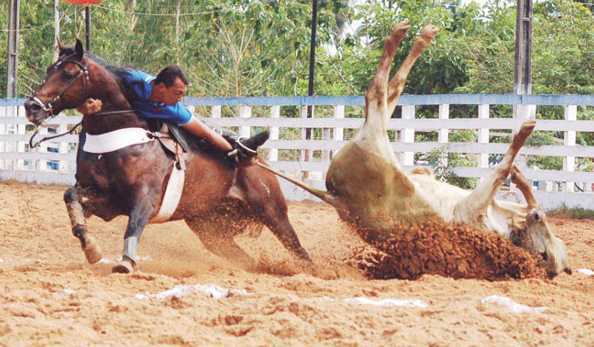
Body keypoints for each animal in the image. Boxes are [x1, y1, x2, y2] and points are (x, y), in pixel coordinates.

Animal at [24, 40, 312, 274]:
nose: (31, 106)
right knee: (245, 260)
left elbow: (134, 225)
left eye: (68, 72)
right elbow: (71, 198)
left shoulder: (145, 197)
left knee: (299, 250)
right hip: (209, 229)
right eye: (49, 69)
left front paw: (126, 261)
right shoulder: (106, 199)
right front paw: (91, 248)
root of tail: (257, 161)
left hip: (272, 211)